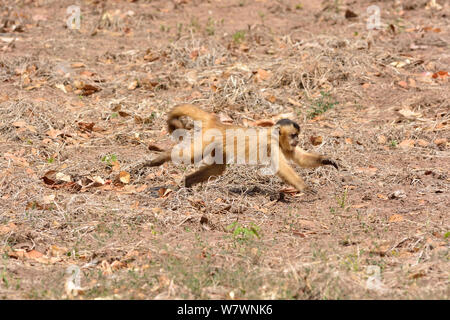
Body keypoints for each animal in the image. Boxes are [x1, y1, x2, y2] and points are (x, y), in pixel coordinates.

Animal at [134, 104, 338, 192]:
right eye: (294, 135)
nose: (297, 140)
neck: (275, 135)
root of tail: (217, 122)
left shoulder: (285, 146)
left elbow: (300, 159)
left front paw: (327, 160)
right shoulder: (271, 144)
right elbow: (281, 167)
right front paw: (304, 187)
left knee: (218, 168)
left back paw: (187, 183)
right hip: (207, 138)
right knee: (191, 155)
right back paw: (161, 158)